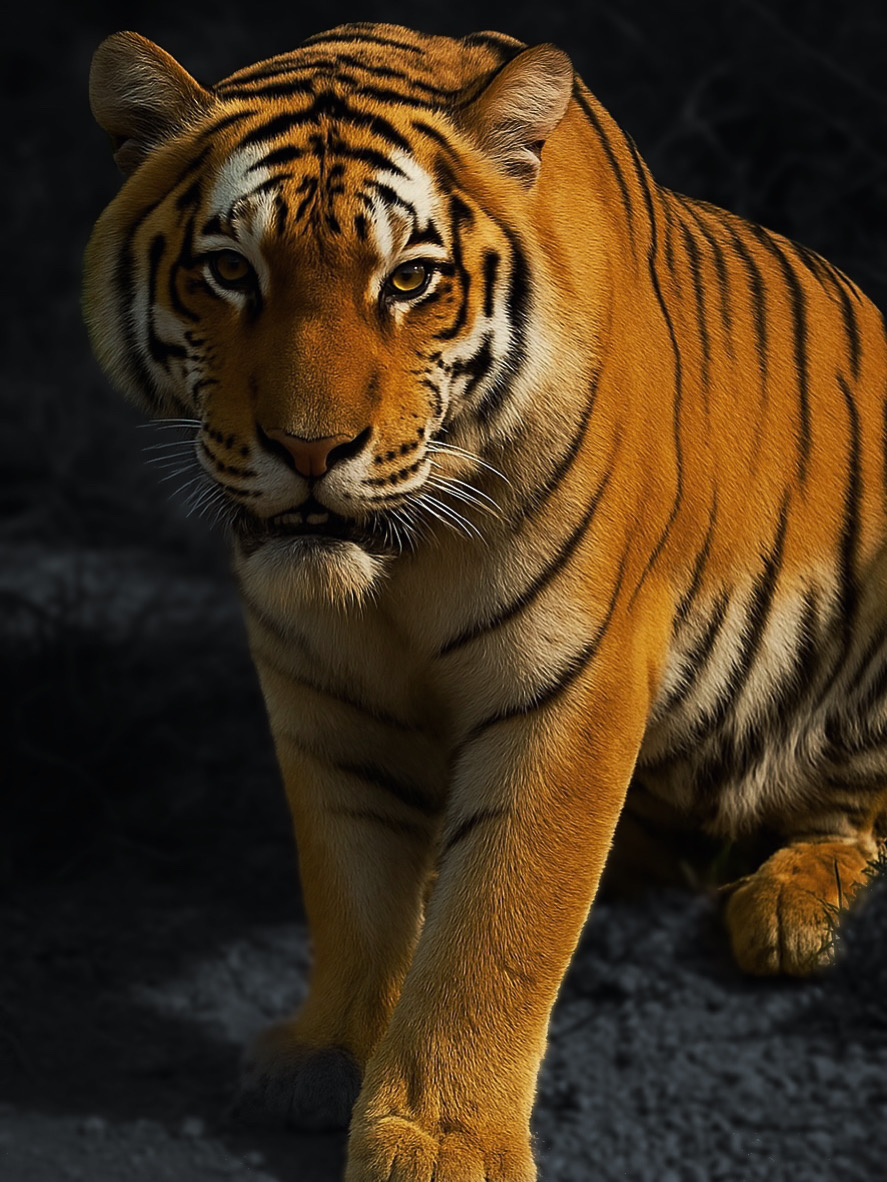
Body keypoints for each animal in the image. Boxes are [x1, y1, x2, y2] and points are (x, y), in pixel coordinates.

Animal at [83, 20, 887, 1182]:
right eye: (230, 272)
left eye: (409, 280)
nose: (310, 450)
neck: (393, 567)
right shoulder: (322, 695)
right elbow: (349, 881)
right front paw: (326, 1053)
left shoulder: (566, 686)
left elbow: (497, 924)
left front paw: (439, 1140)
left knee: (851, 813)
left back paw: (789, 907)